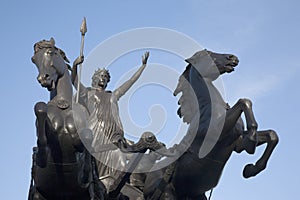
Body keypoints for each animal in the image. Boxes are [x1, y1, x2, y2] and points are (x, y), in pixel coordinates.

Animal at [28, 38, 105, 199]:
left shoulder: (79, 140)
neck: (63, 104)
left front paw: (87, 173)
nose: (43, 79)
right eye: (34, 59)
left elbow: (87, 136)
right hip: (38, 194)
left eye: (51, 52)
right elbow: (40, 108)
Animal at [144, 49, 278, 200]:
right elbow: (244, 102)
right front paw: (251, 142)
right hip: (168, 195)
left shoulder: (236, 143)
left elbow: (272, 135)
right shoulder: (218, 131)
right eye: (206, 54)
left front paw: (251, 169)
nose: (233, 57)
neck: (209, 106)